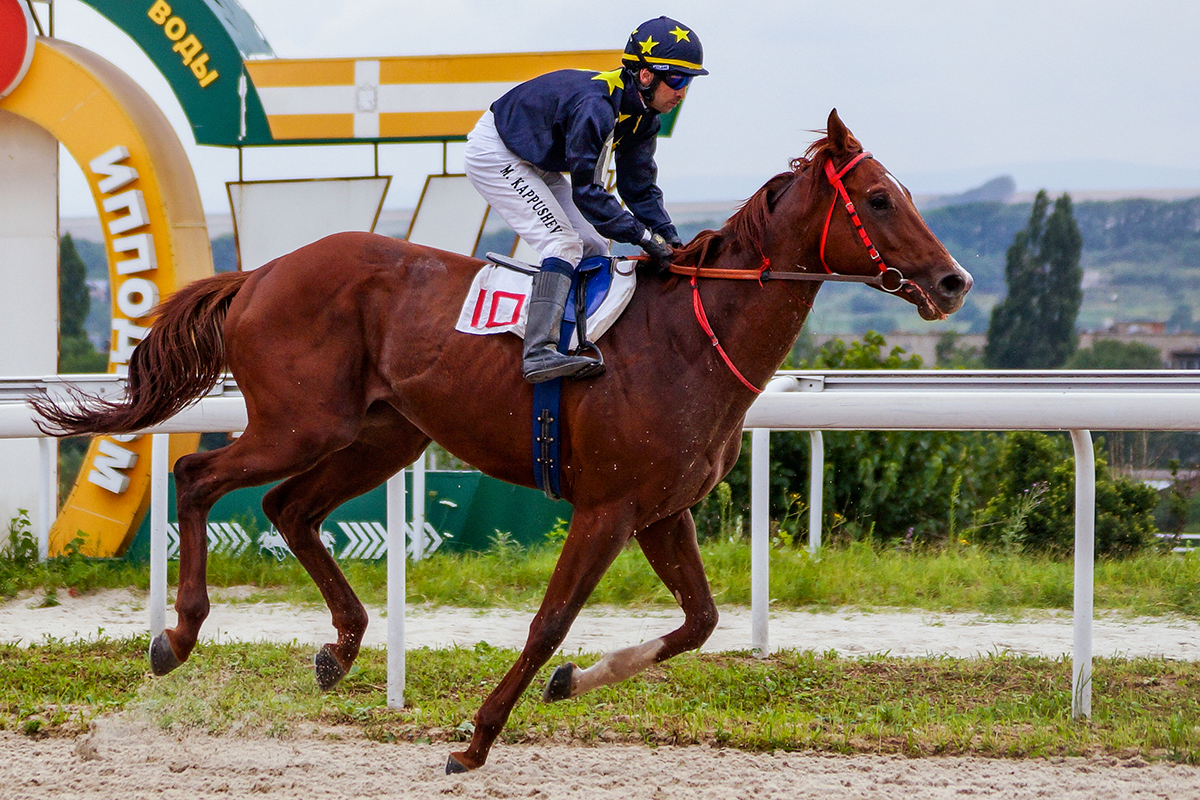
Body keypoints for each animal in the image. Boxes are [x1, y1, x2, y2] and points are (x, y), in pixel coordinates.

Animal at [35, 109, 974, 772]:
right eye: (880, 199)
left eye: (908, 195)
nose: (953, 281)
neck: (692, 337)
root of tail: (262, 272)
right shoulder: (607, 507)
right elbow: (549, 621)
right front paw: (477, 739)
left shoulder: (661, 511)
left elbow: (701, 623)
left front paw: (571, 685)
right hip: (300, 423)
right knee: (200, 476)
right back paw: (179, 636)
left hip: (382, 436)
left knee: (289, 508)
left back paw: (340, 647)